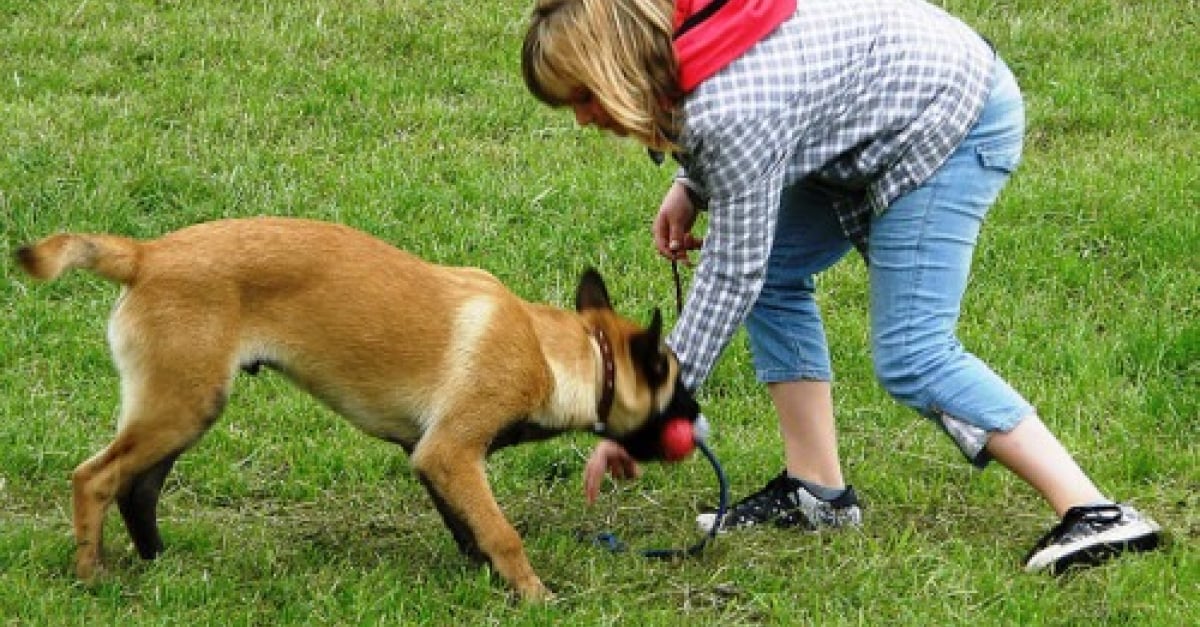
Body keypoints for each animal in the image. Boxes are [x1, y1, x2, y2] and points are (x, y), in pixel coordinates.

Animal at [14, 216, 700, 600]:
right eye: (671, 379)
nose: (699, 414)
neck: (558, 352)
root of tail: (147, 254)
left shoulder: (430, 458)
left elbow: (468, 525)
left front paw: (481, 574)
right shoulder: (451, 450)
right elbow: (501, 531)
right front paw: (532, 594)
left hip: (183, 408)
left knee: (139, 488)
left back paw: (158, 565)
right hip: (178, 407)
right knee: (95, 478)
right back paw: (92, 574)